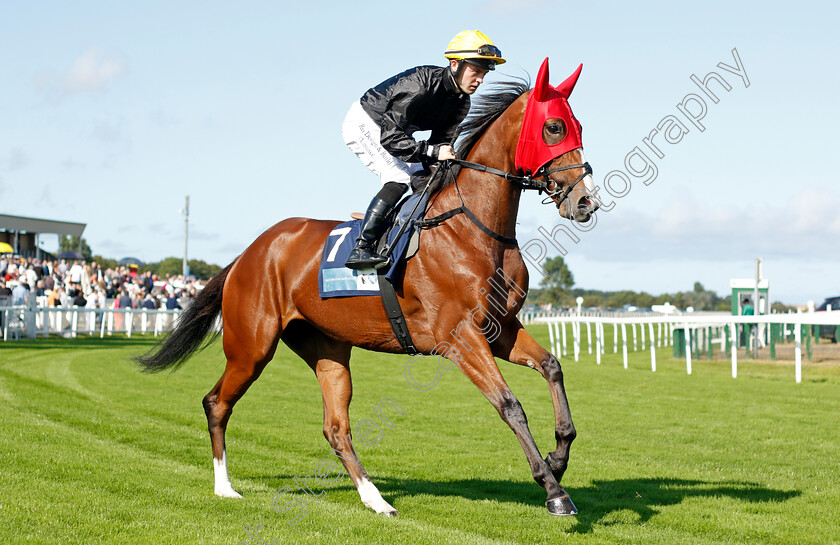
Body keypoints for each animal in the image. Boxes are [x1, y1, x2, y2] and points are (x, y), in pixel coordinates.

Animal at [136, 57, 596, 516]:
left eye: (579, 126)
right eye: (554, 127)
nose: (584, 201)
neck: (473, 226)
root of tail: (249, 253)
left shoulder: (498, 328)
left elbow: (552, 366)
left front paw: (559, 456)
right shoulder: (459, 337)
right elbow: (510, 405)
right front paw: (554, 490)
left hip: (327, 349)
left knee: (336, 427)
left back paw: (375, 499)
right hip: (251, 346)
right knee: (217, 403)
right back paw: (225, 486)